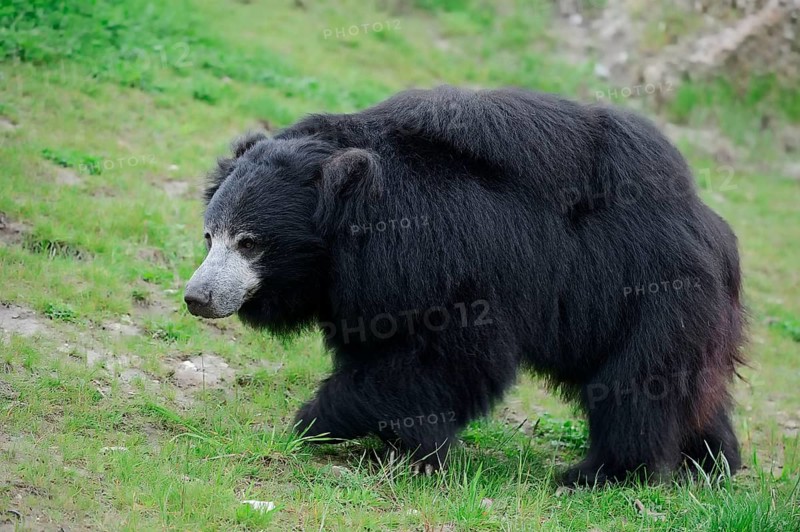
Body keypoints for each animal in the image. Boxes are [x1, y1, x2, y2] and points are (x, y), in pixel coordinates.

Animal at [184, 85, 745, 485]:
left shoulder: (448, 261)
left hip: (650, 294)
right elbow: (382, 345)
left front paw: (323, 423)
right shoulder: (366, 289)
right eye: (211, 236)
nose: (198, 298)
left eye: (251, 243)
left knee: (637, 387)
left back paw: (601, 475)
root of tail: (710, 229)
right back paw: (711, 465)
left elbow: (450, 358)